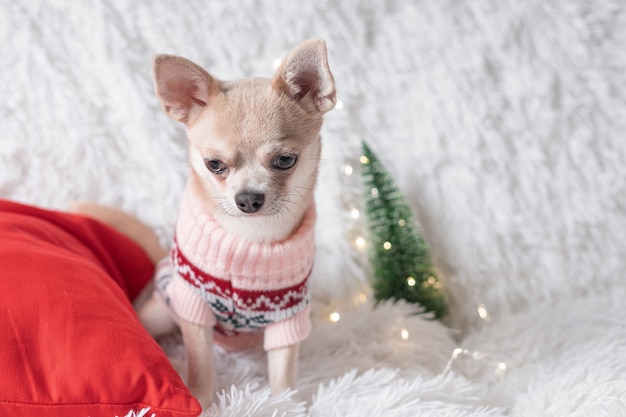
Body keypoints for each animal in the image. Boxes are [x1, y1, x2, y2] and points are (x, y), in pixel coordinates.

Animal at [135, 38, 334, 406]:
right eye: (214, 164)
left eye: (285, 160)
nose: (248, 198)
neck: (251, 237)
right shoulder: (194, 307)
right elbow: (201, 364)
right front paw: (200, 399)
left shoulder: (288, 317)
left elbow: (283, 371)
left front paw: (285, 405)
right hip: (160, 309)